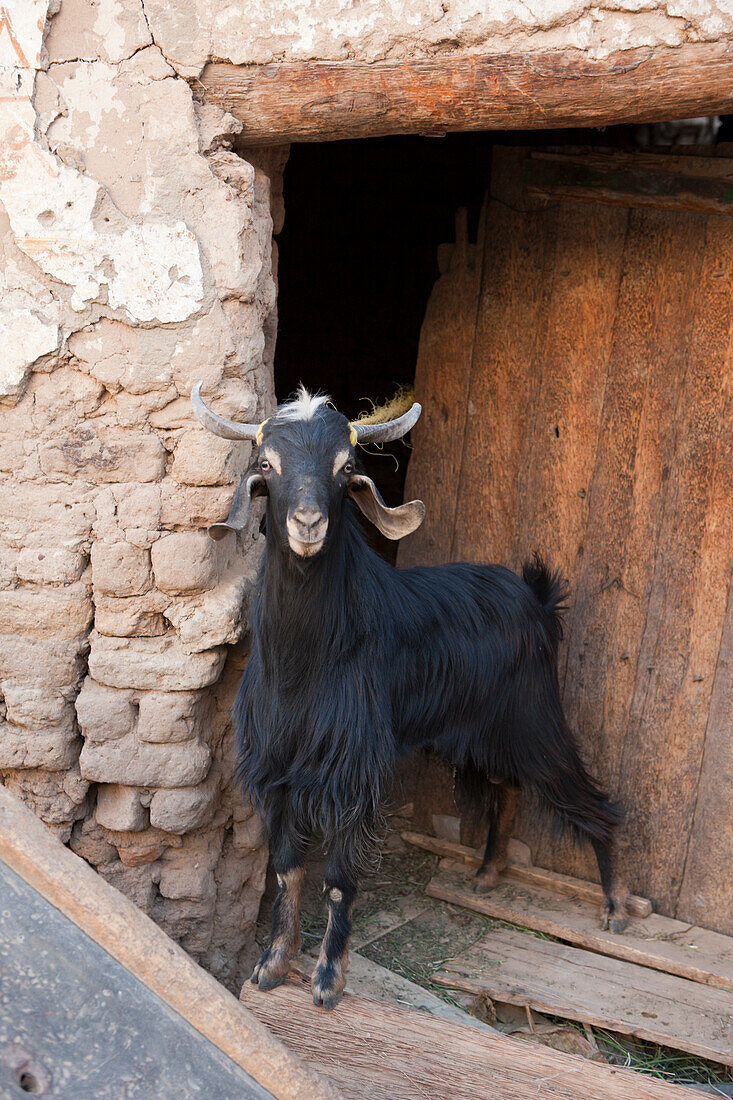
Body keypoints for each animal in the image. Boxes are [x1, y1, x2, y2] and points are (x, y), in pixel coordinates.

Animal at [192, 382, 620, 1007]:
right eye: (266, 465)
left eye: (346, 468)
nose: (308, 523)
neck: (307, 661)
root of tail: (537, 599)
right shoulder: (279, 765)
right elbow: (287, 868)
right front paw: (270, 967)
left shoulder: (354, 767)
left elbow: (338, 881)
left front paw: (328, 980)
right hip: (481, 733)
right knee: (507, 788)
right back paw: (488, 873)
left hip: (536, 718)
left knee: (586, 794)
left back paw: (614, 904)